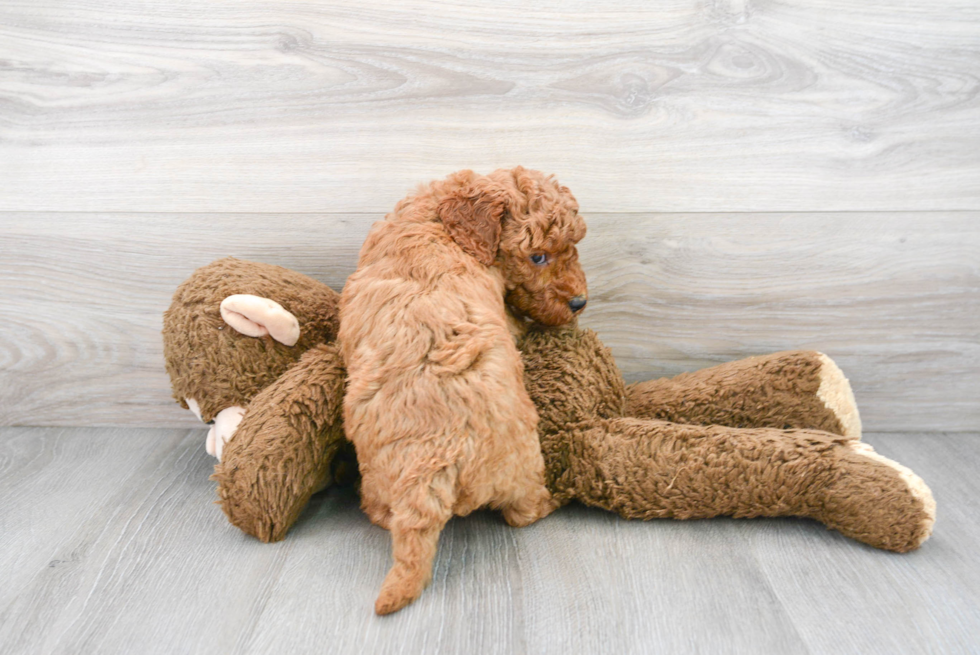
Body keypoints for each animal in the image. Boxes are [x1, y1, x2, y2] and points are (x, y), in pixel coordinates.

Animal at [336, 165, 584, 616]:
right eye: (537, 256)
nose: (580, 302)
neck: (439, 219)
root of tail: (434, 463)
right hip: (523, 464)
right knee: (524, 512)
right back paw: (553, 499)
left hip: (379, 478)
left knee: (382, 513)